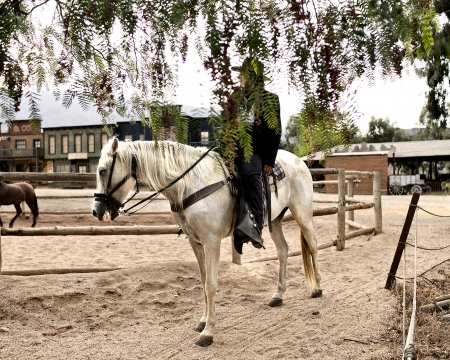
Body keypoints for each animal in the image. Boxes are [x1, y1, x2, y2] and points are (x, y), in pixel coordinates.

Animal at [93, 138, 322, 346]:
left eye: (102, 171)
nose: (96, 211)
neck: (191, 184)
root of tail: (299, 161)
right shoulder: (195, 242)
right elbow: (203, 283)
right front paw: (203, 321)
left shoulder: (212, 241)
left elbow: (211, 285)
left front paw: (208, 332)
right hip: (275, 220)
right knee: (283, 251)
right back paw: (278, 295)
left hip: (302, 215)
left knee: (312, 245)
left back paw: (317, 288)